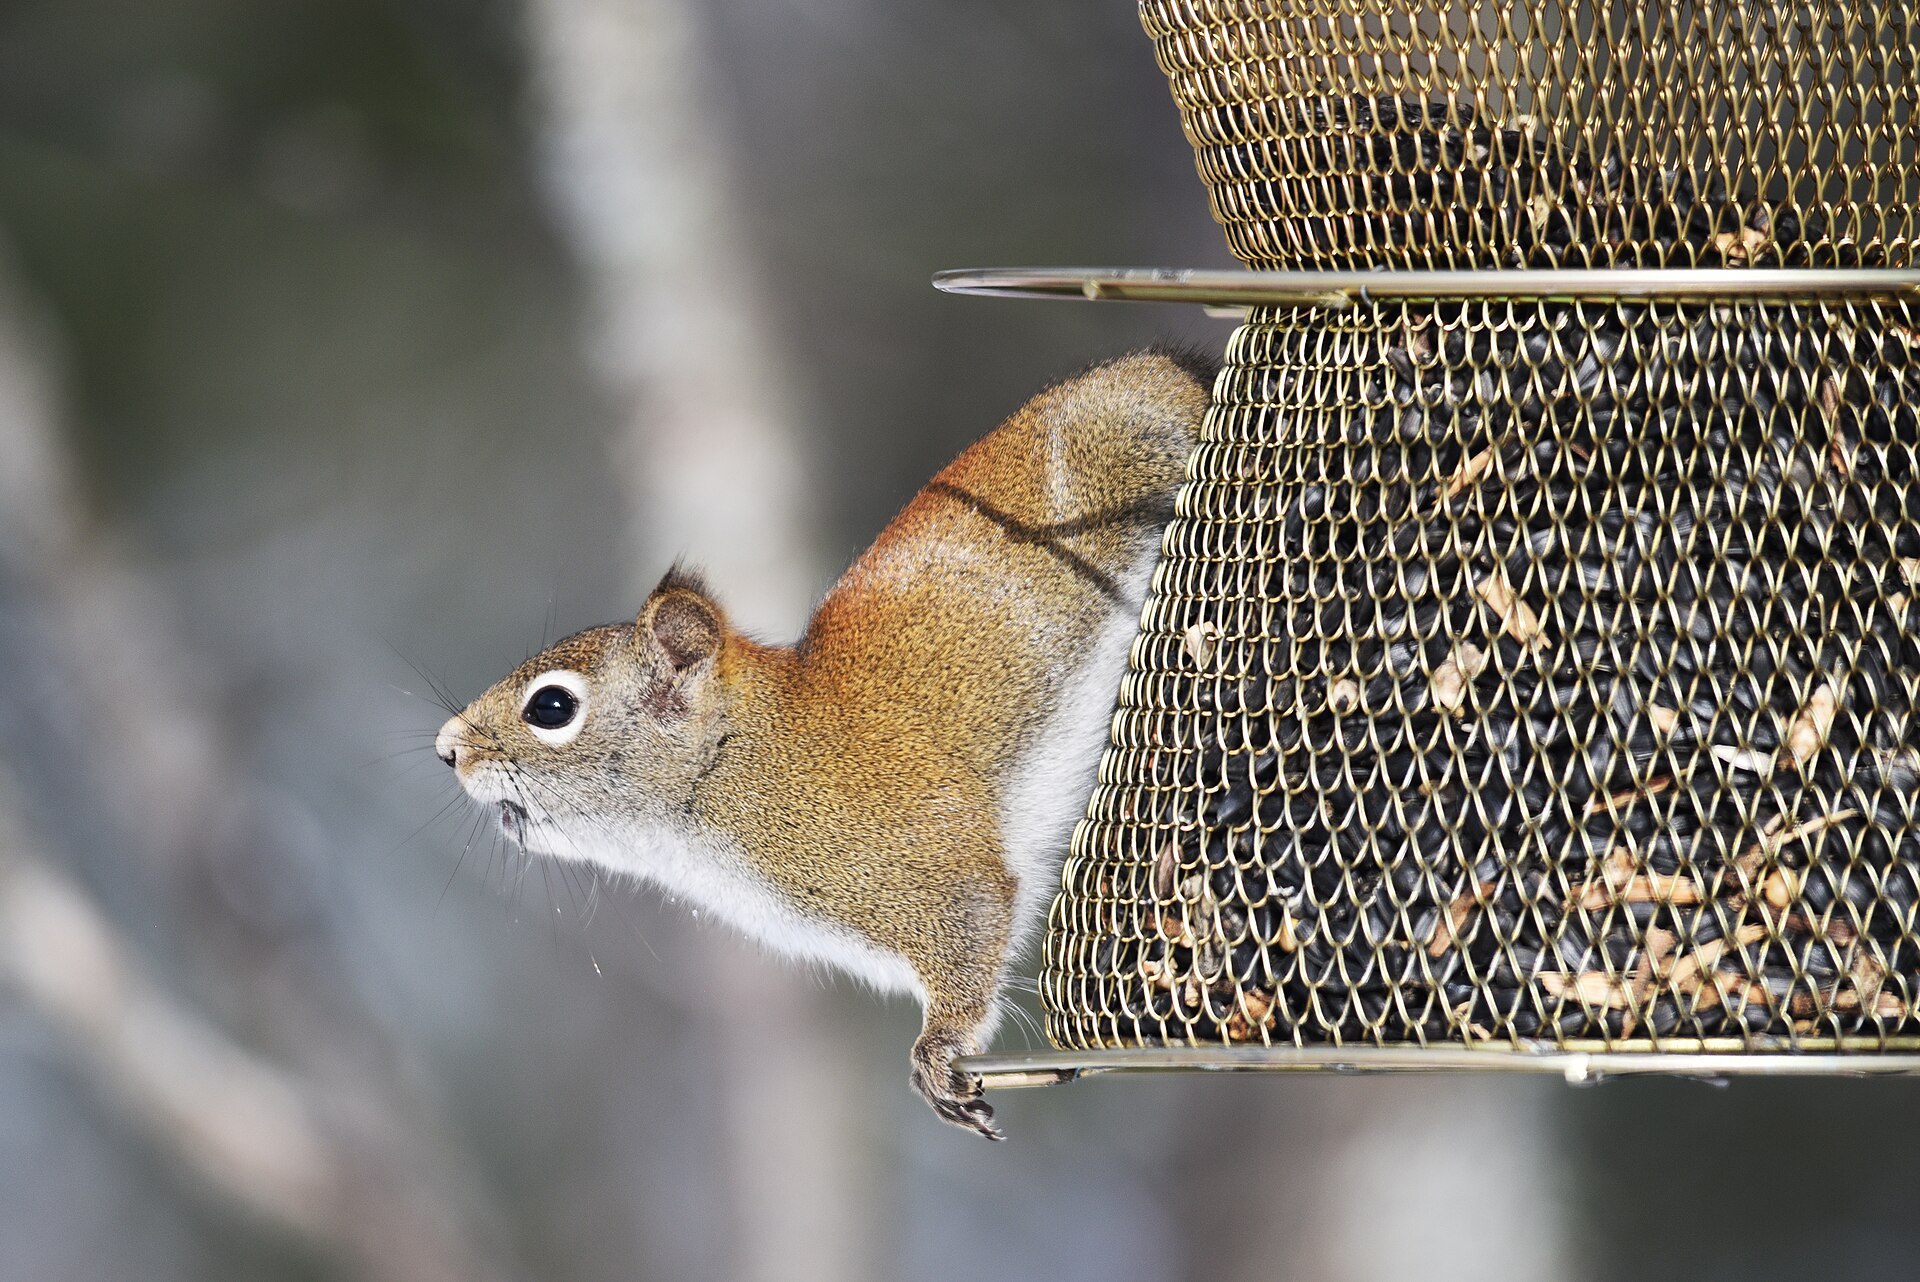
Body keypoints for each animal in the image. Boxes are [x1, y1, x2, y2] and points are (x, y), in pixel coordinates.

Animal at [434, 349, 1216, 1137]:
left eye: (552, 707)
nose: (448, 750)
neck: (743, 766)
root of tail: (1172, 370)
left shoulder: (924, 862)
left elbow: (970, 928)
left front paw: (938, 1050)